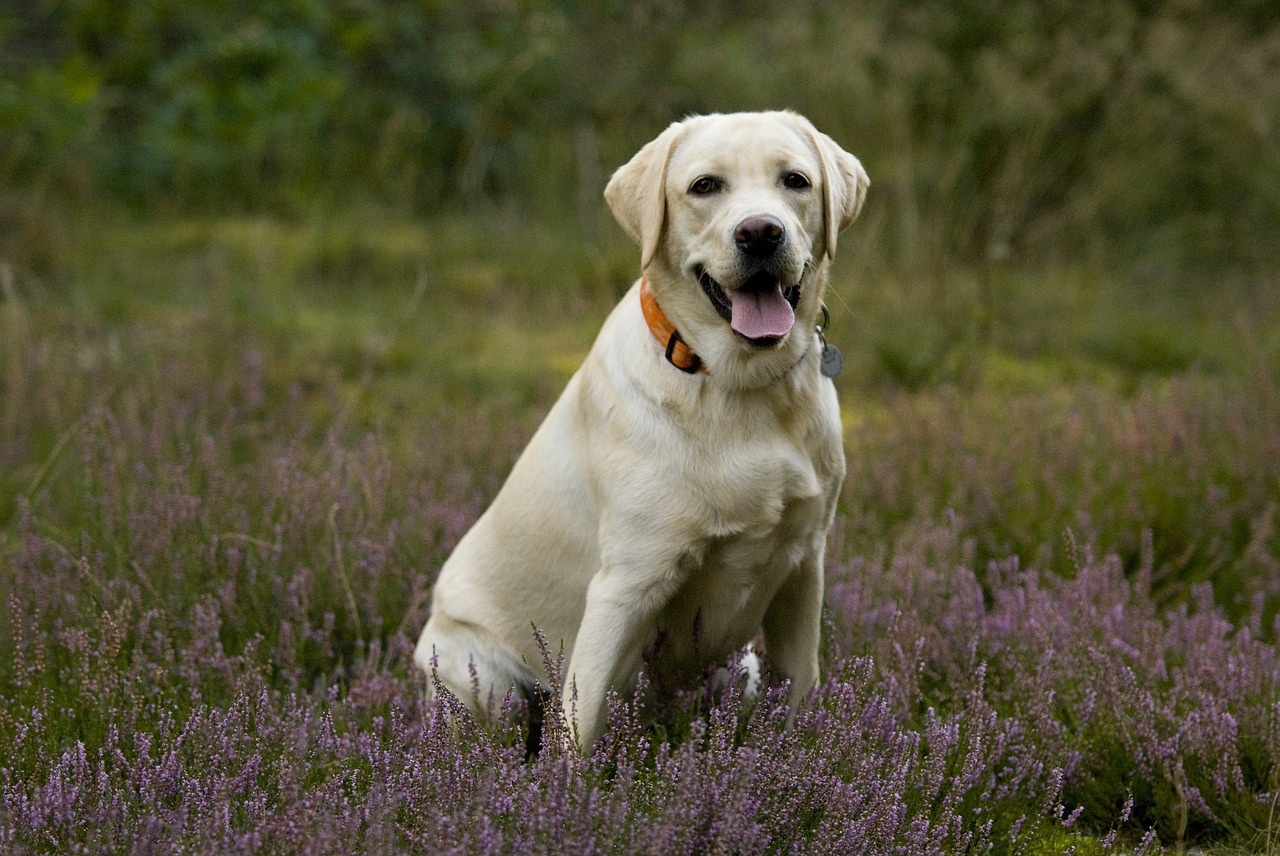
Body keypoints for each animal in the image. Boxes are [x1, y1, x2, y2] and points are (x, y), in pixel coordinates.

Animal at [419, 108, 870, 747]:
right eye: (704, 186)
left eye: (796, 181)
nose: (761, 232)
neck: (740, 384)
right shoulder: (627, 584)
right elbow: (578, 731)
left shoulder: (804, 568)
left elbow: (801, 690)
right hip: (482, 681)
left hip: (741, 669)